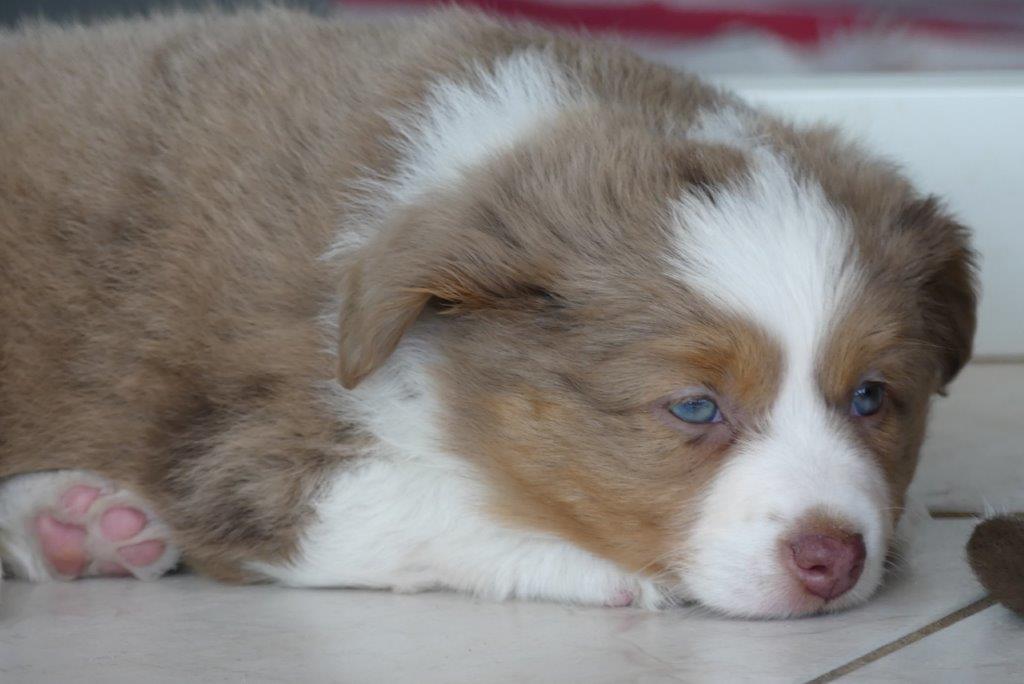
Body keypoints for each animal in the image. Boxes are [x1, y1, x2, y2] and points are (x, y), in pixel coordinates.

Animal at [0, 6, 976, 617]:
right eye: (694, 408)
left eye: (872, 398)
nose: (834, 558)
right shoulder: (243, 460)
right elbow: (420, 507)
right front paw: (598, 566)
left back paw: (77, 526)